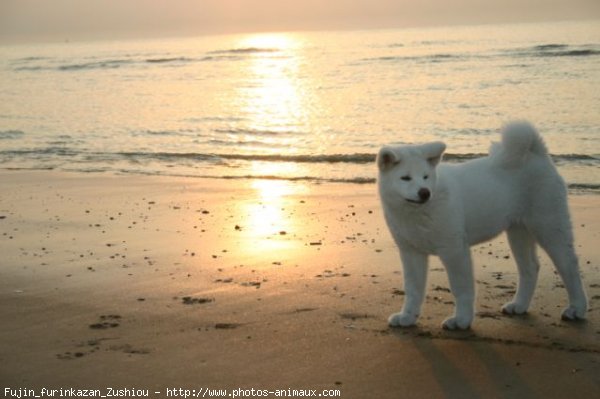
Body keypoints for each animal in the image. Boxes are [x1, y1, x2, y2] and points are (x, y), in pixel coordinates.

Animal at [378, 122, 588, 332]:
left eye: (425, 177)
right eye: (405, 178)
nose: (424, 192)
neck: (417, 213)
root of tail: (536, 154)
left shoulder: (454, 250)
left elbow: (461, 288)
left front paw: (461, 320)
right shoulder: (411, 252)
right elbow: (413, 289)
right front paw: (407, 317)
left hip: (549, 227)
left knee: (569, 265)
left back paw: (577, 308)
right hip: (518, 232)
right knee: (530, 268)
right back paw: (519, 305)